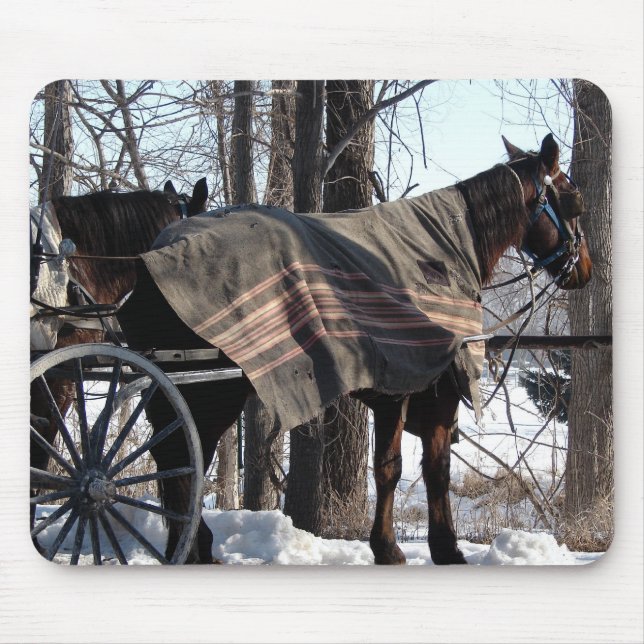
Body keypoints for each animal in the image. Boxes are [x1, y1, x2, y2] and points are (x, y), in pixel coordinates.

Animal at [114, 133, 592, 565]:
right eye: (574, 202)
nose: (584, 269)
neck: (442, 249)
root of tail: (155, 258)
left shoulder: (412, 391)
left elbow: (420, 469)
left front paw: (433, 546)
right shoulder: (416, 387)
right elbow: (404, 468)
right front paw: (406, 548)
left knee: (174, 458)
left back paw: (190, 545)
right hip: (209, 392)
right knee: (181, 459)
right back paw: (189, 547)